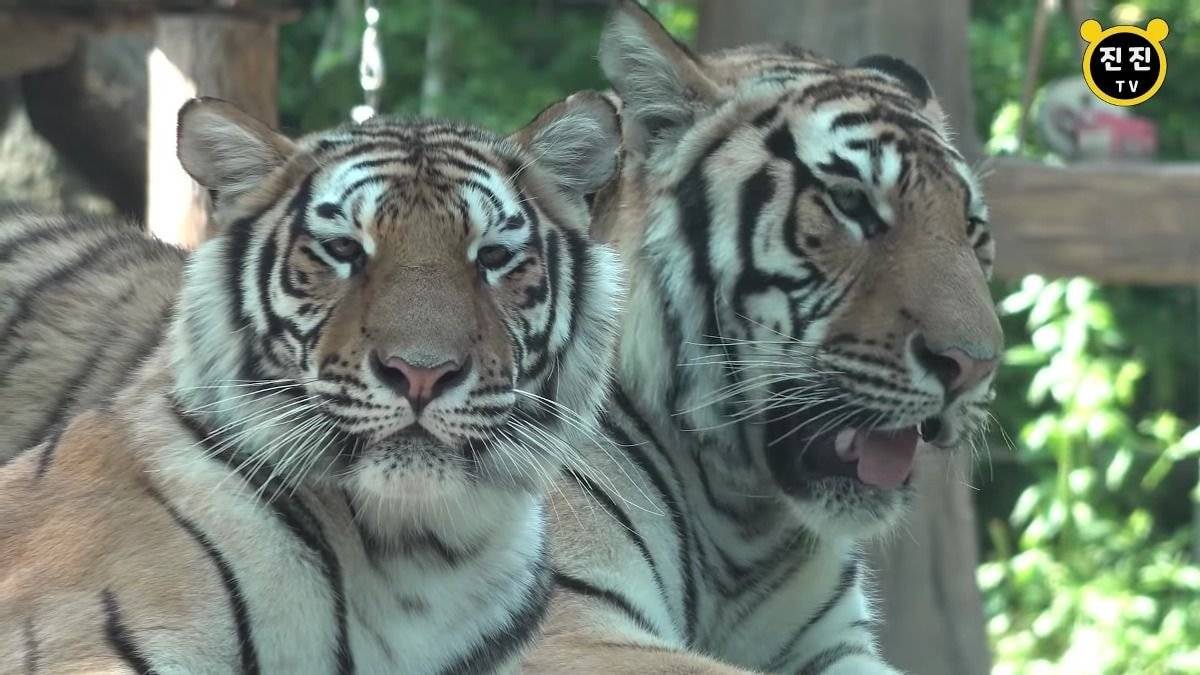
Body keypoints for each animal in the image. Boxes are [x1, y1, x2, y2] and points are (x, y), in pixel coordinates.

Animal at [525, 2, 1003, 667]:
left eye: (972, 228)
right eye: (851, 203)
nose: (975, 366)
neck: (743, 526)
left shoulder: (833, 642)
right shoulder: (567, 622)